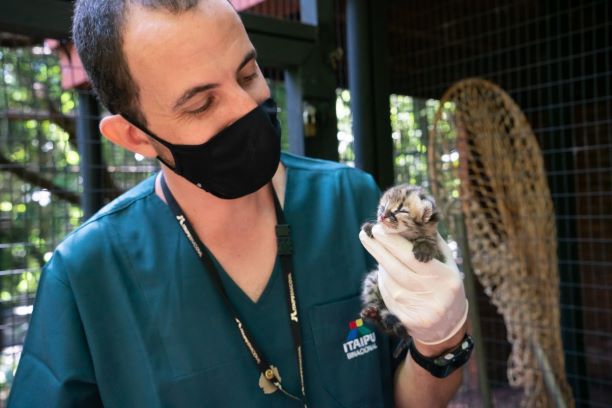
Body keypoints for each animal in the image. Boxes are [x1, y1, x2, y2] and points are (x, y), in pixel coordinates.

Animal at [360, 186, 442, 348]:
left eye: (400, 210)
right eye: (383, 207)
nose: (382, 217)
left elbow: (429, 240)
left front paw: (425, 246)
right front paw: (370, 227)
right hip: (373, 279)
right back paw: (373, 314)